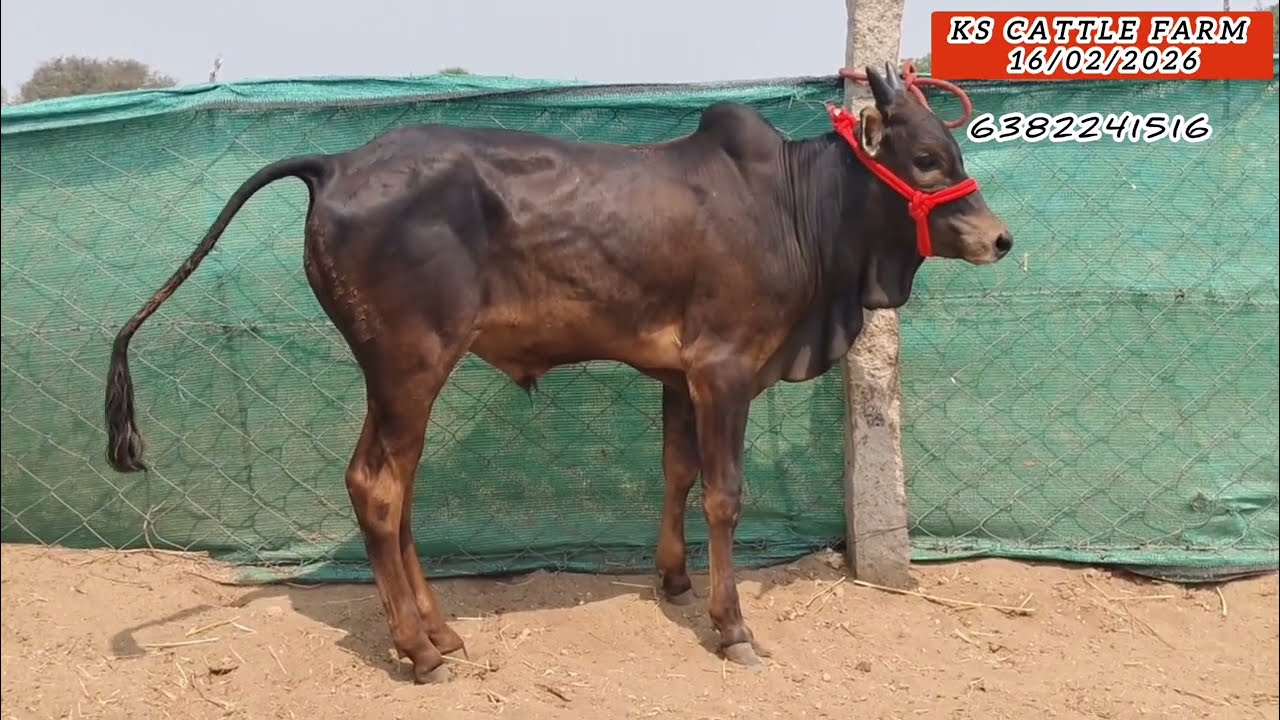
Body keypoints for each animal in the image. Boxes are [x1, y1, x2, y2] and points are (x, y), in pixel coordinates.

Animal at [104, 65, 1012, 684]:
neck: (796, 211)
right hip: (409, 363)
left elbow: (677, 472)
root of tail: (335, 163)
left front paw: (673, 580)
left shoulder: (676, 376)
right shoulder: (723, 370)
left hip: (395, 374)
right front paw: (733, 628)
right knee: (377, 486)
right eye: (924, 157)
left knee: (394, 488)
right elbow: (723, 494)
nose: (999, 238)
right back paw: (420, 650)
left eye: (950, 148)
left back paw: (441, 631)